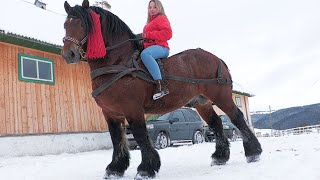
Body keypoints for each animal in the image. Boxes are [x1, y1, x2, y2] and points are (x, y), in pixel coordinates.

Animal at [61, 0, 262, 179]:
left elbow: (141, 136)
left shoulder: (132, 109)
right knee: (216, 123)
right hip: (202, 102)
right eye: (65, 25)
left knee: (237, 117)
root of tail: (216, 58)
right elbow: (117, 139)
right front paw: (115, 169)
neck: (118, 62)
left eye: (82, 24)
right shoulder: (110, 112)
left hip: (222, 97)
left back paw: (253, 152)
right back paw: (220, 157)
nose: (68, 54)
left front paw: (146, 169)